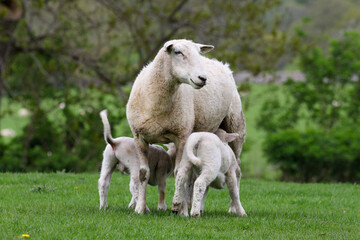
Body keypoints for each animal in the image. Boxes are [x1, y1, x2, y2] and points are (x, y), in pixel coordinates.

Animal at [125, 39, 246, 214]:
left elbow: (179, 173)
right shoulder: (139, 137)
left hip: (235, 126)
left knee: (236, 171)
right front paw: (140, 208)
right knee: (196, 175)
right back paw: (192, 205)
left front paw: (179, 208)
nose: (203, 78)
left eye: (198, 53)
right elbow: (143, 174)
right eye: (178, 52)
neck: (157, 104)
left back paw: (232, 207)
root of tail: (222, 64)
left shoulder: (181, 135)